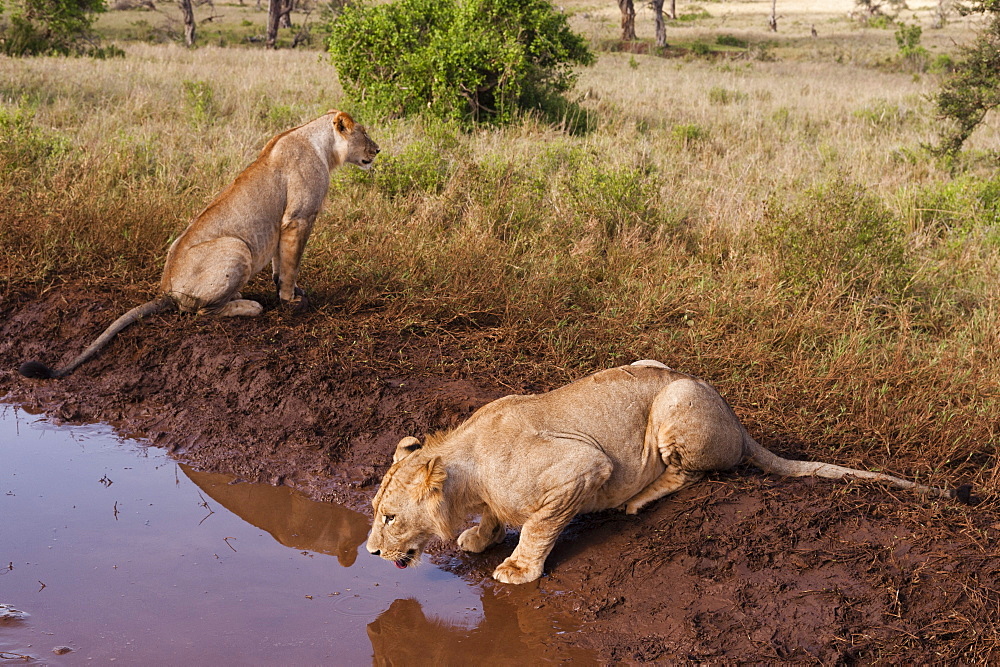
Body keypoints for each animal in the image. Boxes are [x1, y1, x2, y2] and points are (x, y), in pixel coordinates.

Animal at [19, 112, 378, 378]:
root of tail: (166, 289)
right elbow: (290, 264)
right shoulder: (298, 219)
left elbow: (280, 264)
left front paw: (286, 290)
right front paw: (289, 300)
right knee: (202, 312)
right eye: (363, 132)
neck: (322, 145)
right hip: (237, 247)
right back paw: (248, 305)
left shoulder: (283, 225)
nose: (379, 151)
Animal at [368, 360, 968, 584]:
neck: (467, 470)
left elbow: (539, 526)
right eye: (375, 512)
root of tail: (736, 420)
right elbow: (496, 518)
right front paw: (479, 536)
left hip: (675, 400)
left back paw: (636, 499)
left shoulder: (583, 467)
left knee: (691, 474)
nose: (370, 552)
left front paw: (517, 567)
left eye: (391, 518)